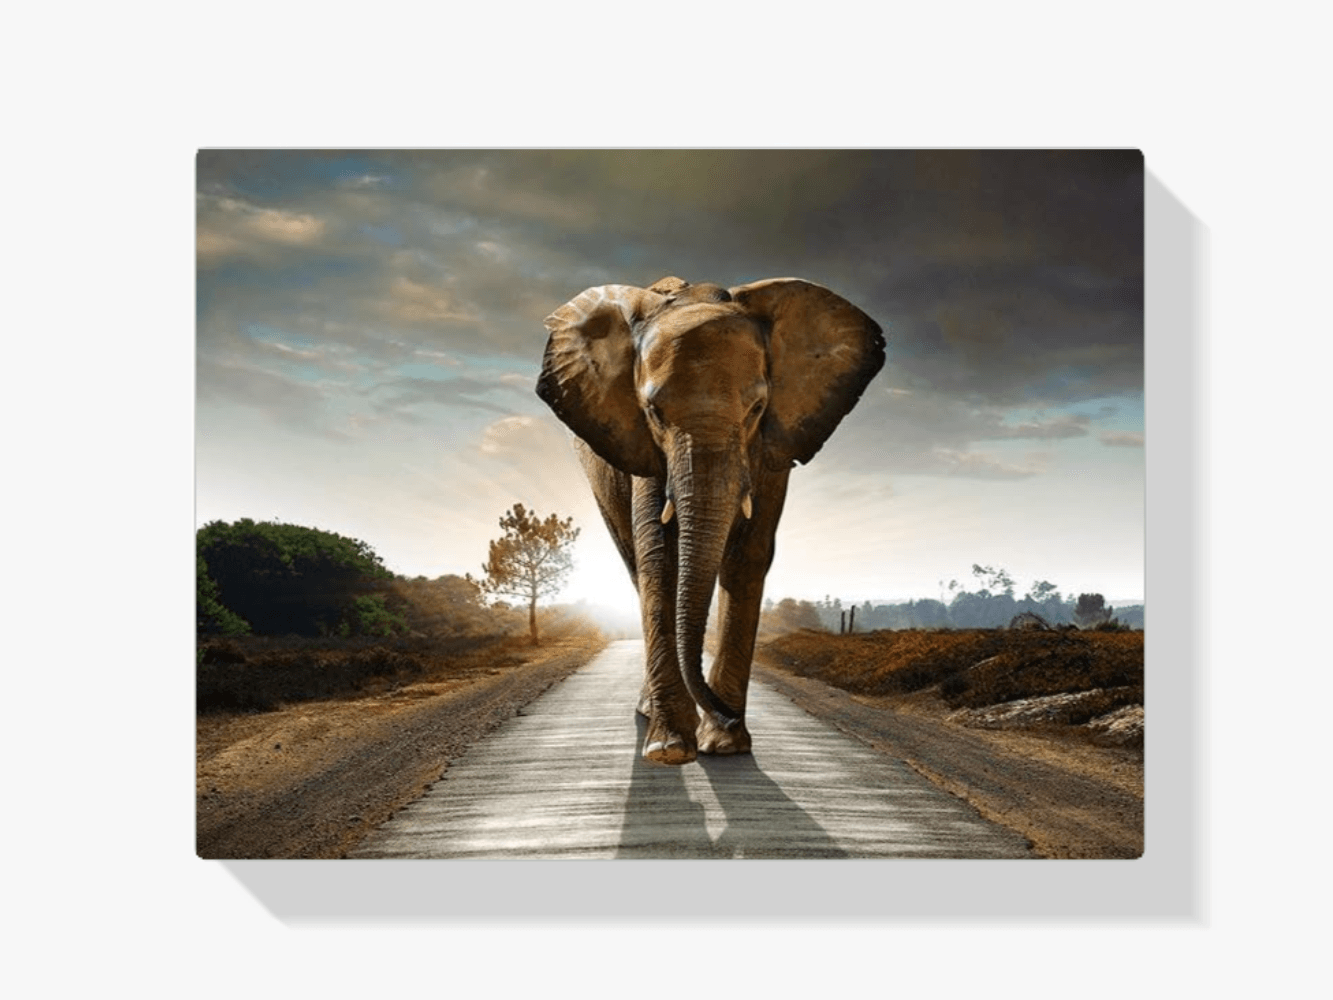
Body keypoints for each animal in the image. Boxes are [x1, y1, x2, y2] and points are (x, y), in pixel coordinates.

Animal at [536, 275, 885, 765]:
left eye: (757, 408)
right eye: (653, 412)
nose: (725, 714)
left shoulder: (773, 447)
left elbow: (747, 557)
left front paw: (725, 745)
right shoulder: (643, 447)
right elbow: (660, 557)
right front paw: (670, 749)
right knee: (635, 565)